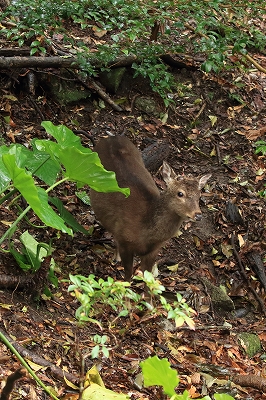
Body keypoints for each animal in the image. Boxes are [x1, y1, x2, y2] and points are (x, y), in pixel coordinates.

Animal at [90, 136, 211, 280]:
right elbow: (128, 276)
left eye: (199, 195)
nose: (198, 215)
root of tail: (111, 137)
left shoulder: (153, 251)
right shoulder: (125, 241)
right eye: (180, 193)